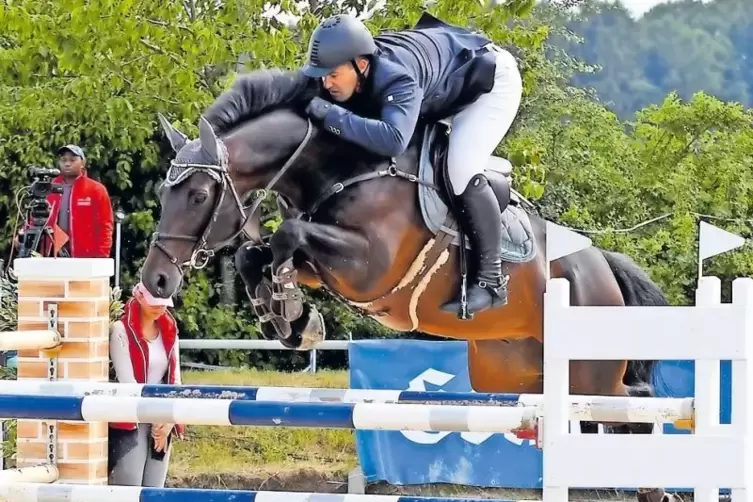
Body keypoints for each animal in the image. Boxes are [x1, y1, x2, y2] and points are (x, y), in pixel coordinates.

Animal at [141, 102, 680, 502]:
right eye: (164, 193)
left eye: (199, 195)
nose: (157, 279)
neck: (341, 169)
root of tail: (600, 262)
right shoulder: (325, 262)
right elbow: (259, 252)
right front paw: (287, 318)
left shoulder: (367, 266)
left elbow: (286, 235)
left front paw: (291, 313)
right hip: (520, 374)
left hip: (589, 370)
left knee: (635, 406)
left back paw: (655, 486)